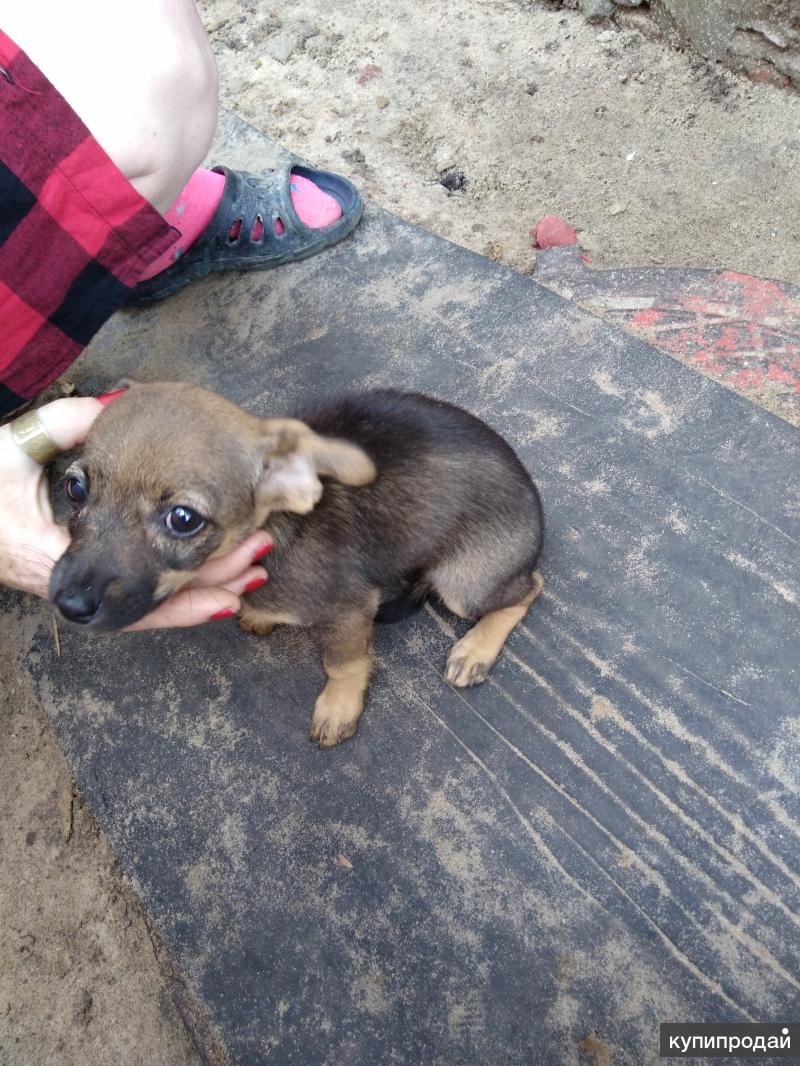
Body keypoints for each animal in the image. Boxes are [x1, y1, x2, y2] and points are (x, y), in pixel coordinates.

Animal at [50, 385, 546, 750]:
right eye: (75, 489)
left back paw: (475, 649)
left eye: (184, 519)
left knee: (529, 587)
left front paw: (338, 707)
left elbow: (343, 663)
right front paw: (258, 615)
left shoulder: (350, 609)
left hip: (464, 584)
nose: (67, 604)